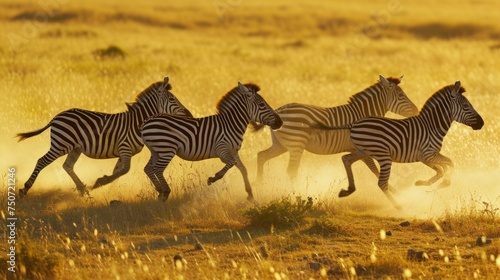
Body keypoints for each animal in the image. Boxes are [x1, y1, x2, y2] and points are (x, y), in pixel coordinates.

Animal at [16, 75, 192, 196]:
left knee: (67, 166)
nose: (189, 115)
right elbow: (124, 170)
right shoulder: (125, 148)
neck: (137, 122)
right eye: (172, 99)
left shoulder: (124, 152)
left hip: (75, 148)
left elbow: (118, 172)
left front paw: (103, 185)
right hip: (61, 144)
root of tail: (57, 116)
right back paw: (25, 188)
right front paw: (100, 182)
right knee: (42, 161)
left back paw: (82, 189)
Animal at [140, 81, 282, 201]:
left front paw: (250, 194)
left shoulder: (234, 151)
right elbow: (230, 163)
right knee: (158, 169)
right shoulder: (222, 149)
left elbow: (243, 169)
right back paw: (165, 192)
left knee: (148, 168)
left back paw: (160, 191)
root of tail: (146, 122)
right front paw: (213, 179)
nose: (280, 122)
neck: (231, 124)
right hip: (167, 149)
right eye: (262, 104)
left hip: (156, 151)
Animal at [254, 74, 418, 180]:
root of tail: (278, 111)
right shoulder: (364, 148)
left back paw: (260, 185)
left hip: (281, 144)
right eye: (401, 96)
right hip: (296, 144)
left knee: (261, 156)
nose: (416, 110)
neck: (363, 113)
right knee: (291, 171)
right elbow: (374, 169)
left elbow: (373, 169)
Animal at [338, 80, 482, 209]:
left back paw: (348, 190)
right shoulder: (428, 154)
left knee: (346, 159)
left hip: (363, 151)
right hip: (383, 155)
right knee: (382, 183)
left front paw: (422, 183)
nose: (482, 123)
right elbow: (449, 164)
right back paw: (398, 206)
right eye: (466, 106)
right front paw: (443, 184)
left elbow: (441, 170)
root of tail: (354, 124)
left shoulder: (425, 157)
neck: (432, 126)